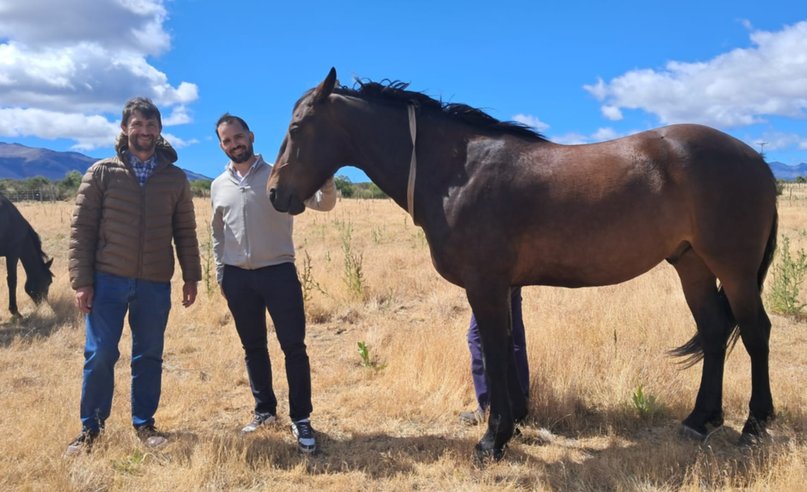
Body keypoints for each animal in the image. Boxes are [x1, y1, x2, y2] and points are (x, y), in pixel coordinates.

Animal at [268, 69, 780, 462]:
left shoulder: (485, 286)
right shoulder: (504, 287)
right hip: (692, 264)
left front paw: (492, 440)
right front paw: (513, 425)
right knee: (714, 331)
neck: (458, 172)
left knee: (755, 332)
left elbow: (496, 352)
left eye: (296, 128)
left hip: (734, 269)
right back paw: (700, 420)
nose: (275, 193)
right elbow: (509, 348)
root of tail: (755, 158)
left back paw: (754, 424)